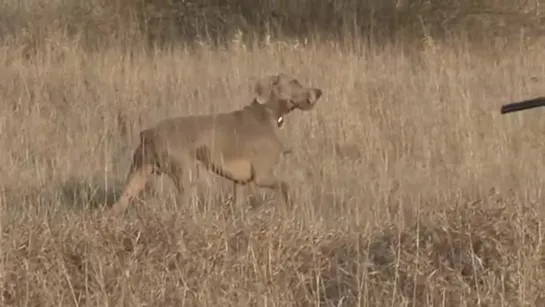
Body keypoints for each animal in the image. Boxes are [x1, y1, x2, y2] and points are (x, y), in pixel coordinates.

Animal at [111, 73, 324, 215]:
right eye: (295, 81)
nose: (319, 91)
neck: (268, 113)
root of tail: (148, 133)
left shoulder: (240, 182)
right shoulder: (261, 176)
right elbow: (286, 185)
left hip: (138, 174)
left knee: (117, 205)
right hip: (186, 174)